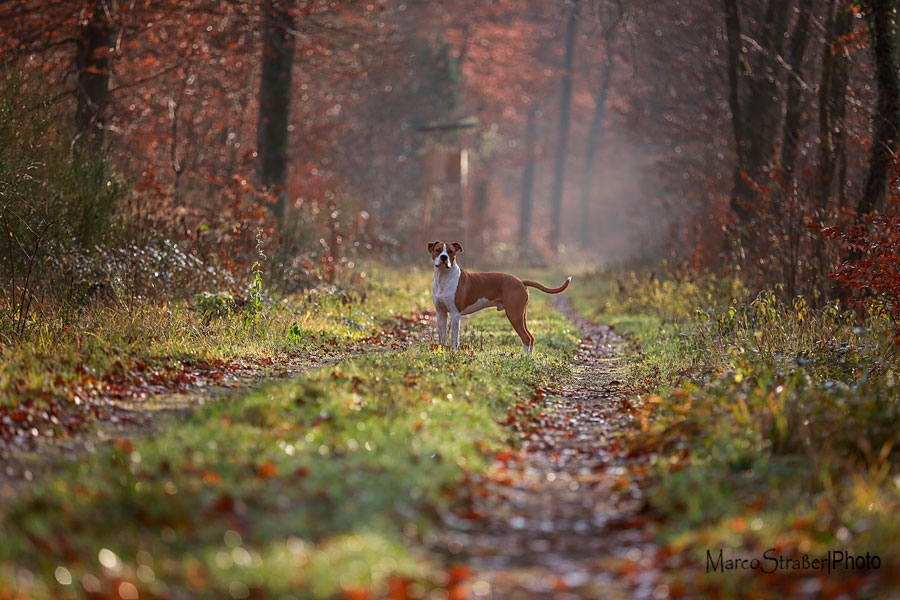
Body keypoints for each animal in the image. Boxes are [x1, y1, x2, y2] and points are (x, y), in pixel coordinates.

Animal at [428, 239, 568, 352]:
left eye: (450, 251)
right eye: (438, 250)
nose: (444, 257)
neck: (444, 277)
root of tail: (520, 281)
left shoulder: (455, 314)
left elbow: (454, 339)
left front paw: (453, 353)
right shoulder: (441, 313)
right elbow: (442, 336)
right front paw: (441, 352)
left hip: (514, 314)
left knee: (527, 338)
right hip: (521, 315)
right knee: (531, 338)